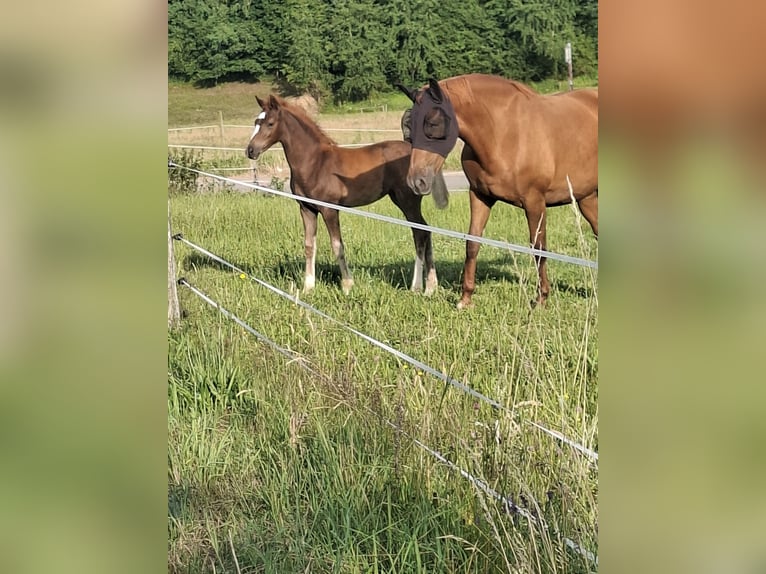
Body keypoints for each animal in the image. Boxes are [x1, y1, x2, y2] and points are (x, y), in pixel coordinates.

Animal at [246, 94, 449, 295]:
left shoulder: (329, 209)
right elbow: (309, 245)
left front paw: (347, 285)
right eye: (256, 121)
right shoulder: (306, 209)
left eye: (270, 123)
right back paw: (431, 286)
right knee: (426, 230)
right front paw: (308, 287)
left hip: (408, 201)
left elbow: (337, 245)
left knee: (420, 233)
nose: (250, 150)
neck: (315, 162)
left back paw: (417, 286)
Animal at [399, 74, 598, 308]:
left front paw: (541, 299)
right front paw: (465, 298)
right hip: (587, 199)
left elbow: (538, 249)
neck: (503, 134)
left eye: (433, 123)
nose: (416, 181)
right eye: (408, 126)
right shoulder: (480, 196)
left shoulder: (535, 202)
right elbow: (472, 243)